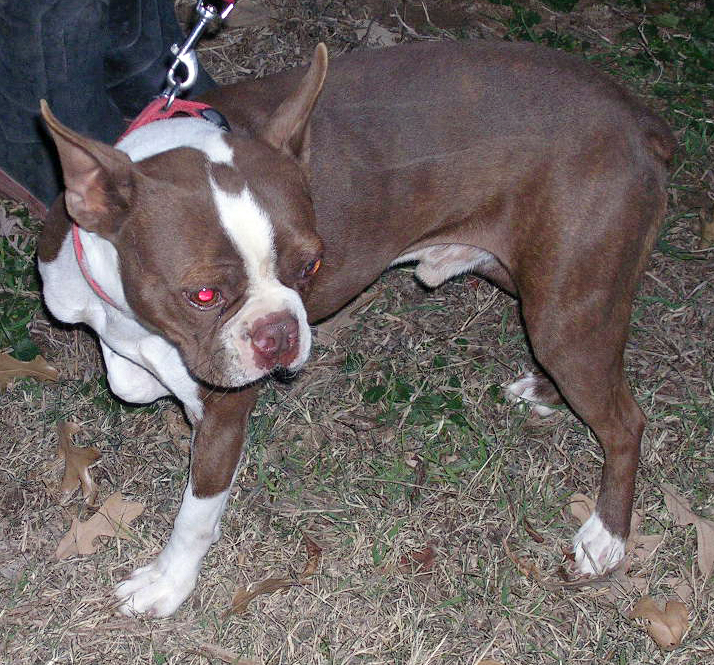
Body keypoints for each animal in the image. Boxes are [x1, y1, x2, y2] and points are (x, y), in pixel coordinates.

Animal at [37, 40, 674, 617]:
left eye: (311, 266)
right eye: (204, 295)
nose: (279, 333)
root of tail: (641, 119)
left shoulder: (223, 410)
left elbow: (196, 512)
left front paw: (167, 585)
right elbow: (130, 376)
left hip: (565, 305)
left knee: (625, 420)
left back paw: (606, 535)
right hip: (534, 281)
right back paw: (544, 388)